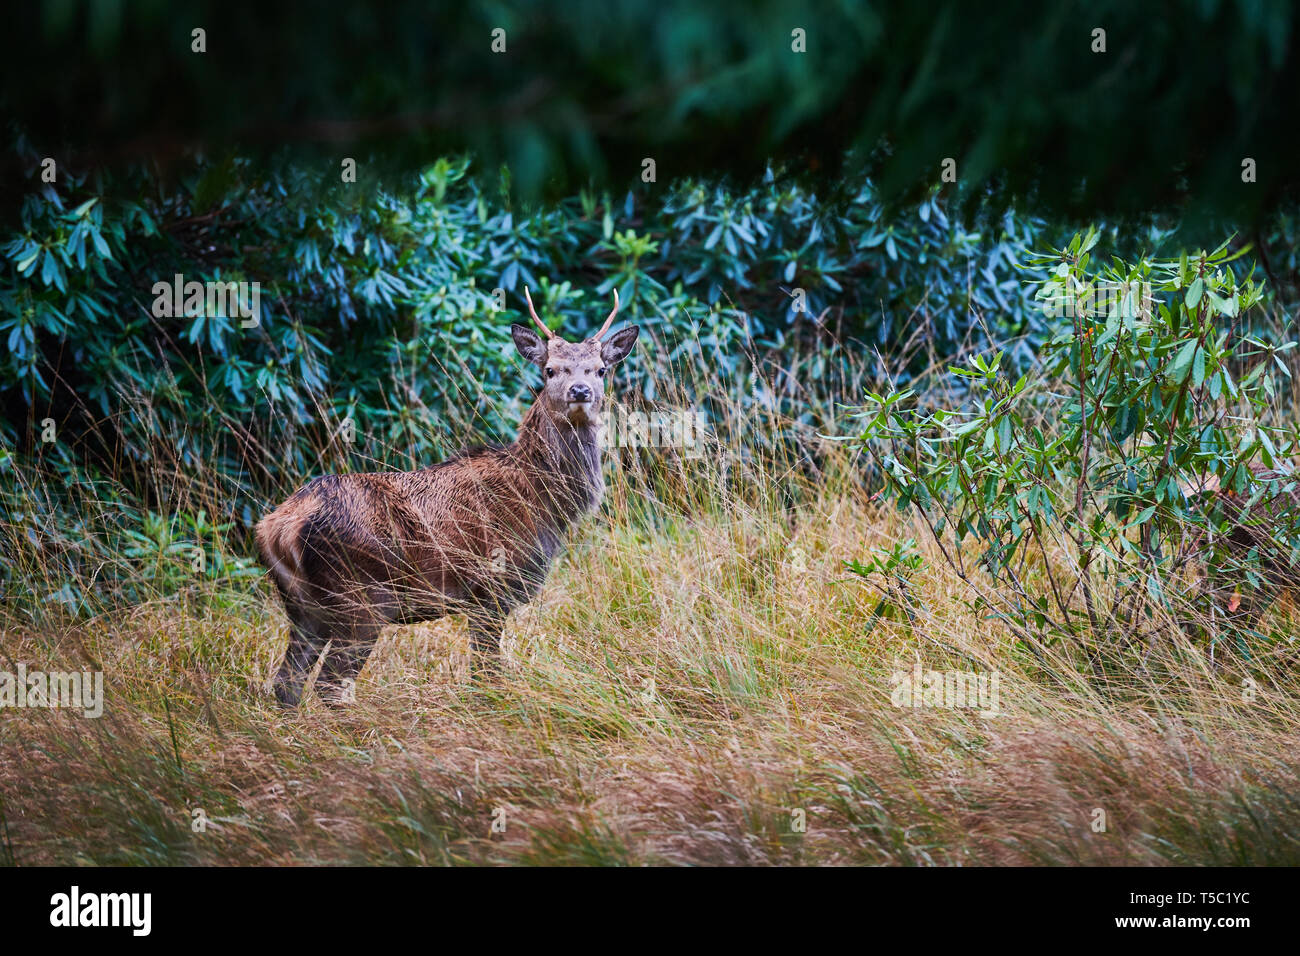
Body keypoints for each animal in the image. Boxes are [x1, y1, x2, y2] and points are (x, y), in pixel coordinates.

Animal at [254, 289, 639, 706]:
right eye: (550, 370)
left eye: (600, 370)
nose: (580, 391)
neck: (543, 502)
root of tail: (276, 527)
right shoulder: (491, 586)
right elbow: (485, 675)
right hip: (360, 598)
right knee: (328, 686)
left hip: (304, 607)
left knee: (286, 684)